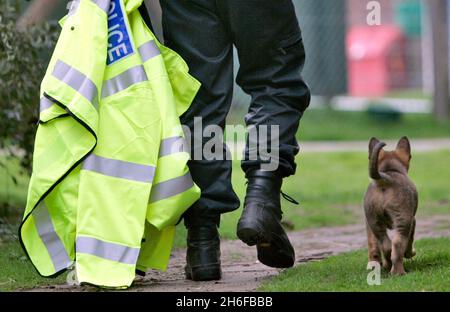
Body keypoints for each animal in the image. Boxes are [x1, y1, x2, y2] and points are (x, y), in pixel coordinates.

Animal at [364, 136, 416, 276]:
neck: (391, 170)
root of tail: (384, 179)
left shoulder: (369, 224)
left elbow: (373, 245)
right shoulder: (412, 221)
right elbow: (410, 239)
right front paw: (410, 253)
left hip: (374, 222)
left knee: (385, 246)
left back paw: (387, 266)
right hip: (403, 220)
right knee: (397, 244)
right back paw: (398, 272)